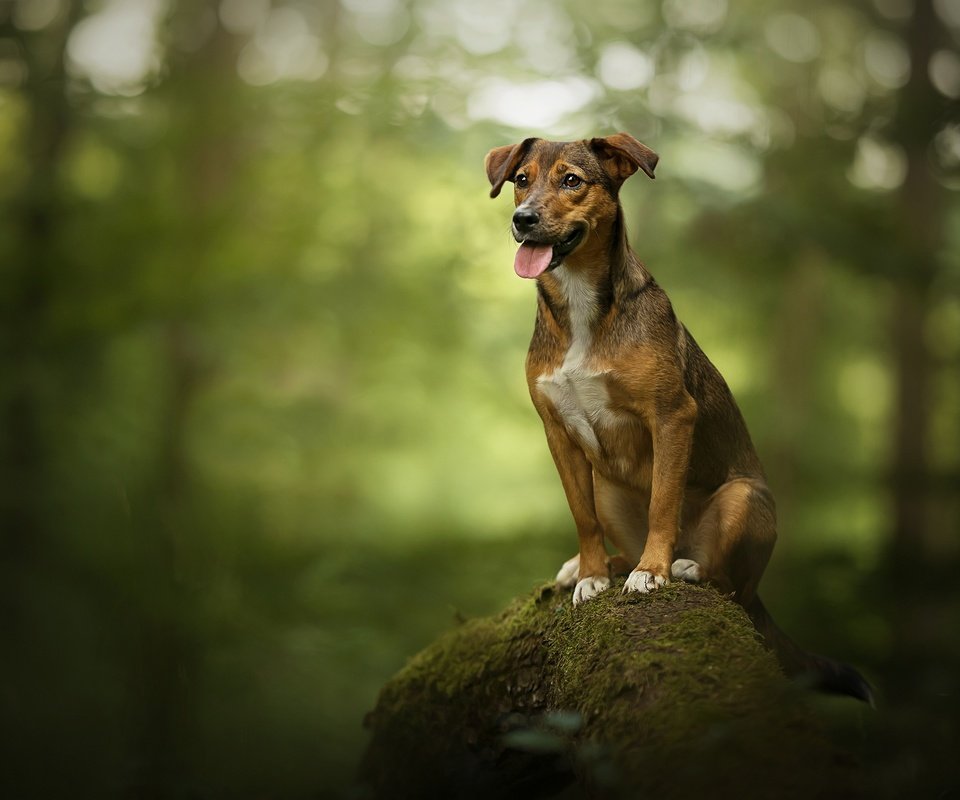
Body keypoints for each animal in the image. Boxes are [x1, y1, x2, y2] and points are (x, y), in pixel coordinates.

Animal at [488, 134, 872, 704]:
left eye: (572, 181)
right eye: (521, 180)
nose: (523, 219)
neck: (581, 306)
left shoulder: (671, 416)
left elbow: (663, 503)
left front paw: (653, 572)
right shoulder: (557, 433)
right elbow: (581, 517)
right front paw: (592, 574)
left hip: (745, 499)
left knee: (730, 586)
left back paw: (684, 565)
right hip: (606, 485)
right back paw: (601, 565)